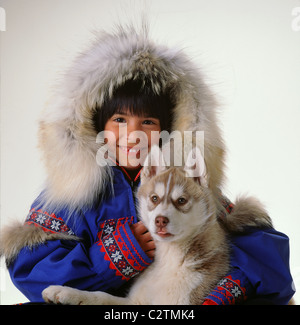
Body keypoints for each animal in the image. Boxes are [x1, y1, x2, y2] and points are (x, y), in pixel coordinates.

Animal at [42, 147, 272, 304]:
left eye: (181, 201)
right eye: (154, 198)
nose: (160, 220)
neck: (169, 259)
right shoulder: (135, 301)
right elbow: (100, 295)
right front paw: (65, 292)